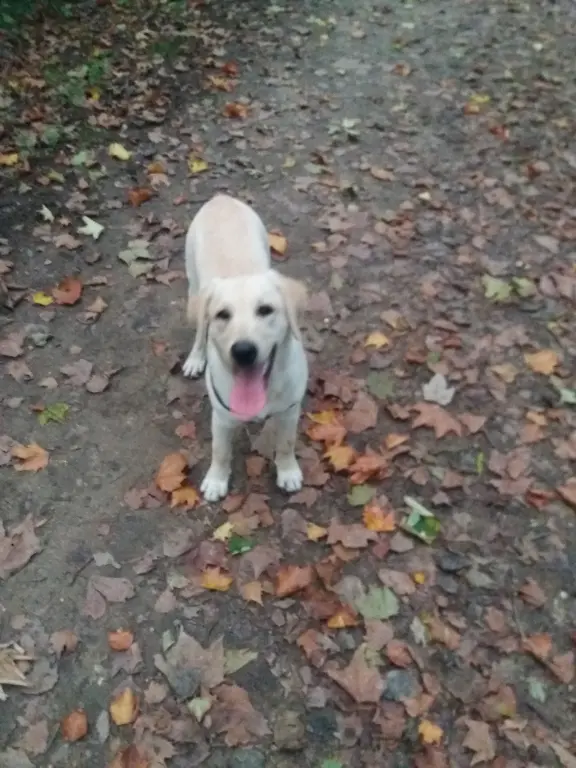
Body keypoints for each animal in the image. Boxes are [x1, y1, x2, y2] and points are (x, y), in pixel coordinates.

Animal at [182, 195, 308, 500]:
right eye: (222, 315)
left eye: (266, 310)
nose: (243, 351)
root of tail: (220, 198)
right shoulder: (222, 418)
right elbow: (220, 451)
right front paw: (216, 480)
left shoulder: (289, 411)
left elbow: (286, 444)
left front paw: (288, 471)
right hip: (193, 285)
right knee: (198, 333)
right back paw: (195, 357)